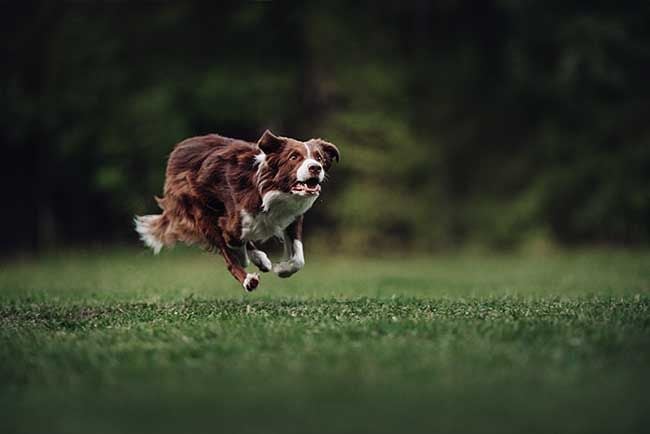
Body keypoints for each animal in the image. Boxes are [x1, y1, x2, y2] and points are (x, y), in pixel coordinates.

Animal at [135, 130, 342, 292]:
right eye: (293, 157)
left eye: (319, 158)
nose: (315, 168)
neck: (273, 189)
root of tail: (178, 149)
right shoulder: (231, 222)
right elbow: (234, 242)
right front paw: (248, 260)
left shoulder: (292, 217)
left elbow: (299, 258)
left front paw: (282, 269)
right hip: (202, 214)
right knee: (228, 254)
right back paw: (248, 277)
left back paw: (261, 259)